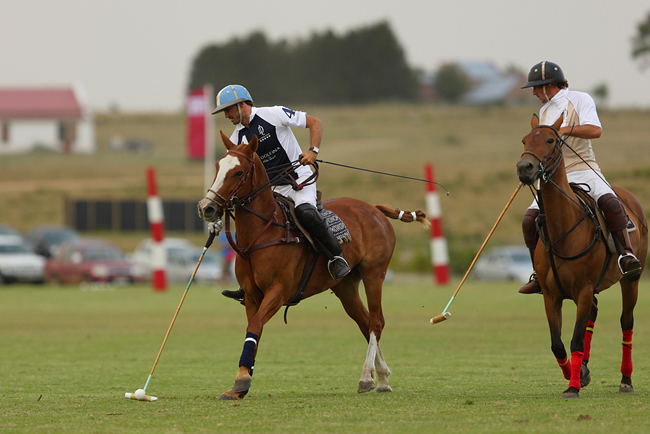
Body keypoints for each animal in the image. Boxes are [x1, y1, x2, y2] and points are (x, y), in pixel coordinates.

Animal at [197, 131, 430, 400]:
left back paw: (366, 377)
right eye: (217, 167)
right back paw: (381, 378)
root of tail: (373, 208)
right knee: (364, 322)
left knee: (376, 321)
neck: (261, 234)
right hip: (345, 285)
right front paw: (242, 381)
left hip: (375, 273)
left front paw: (241, 381)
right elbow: (253, 329)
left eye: (238, 172)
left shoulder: (278, 291)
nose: (207, 208)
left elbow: (255, 326)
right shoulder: (253, 295)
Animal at [512, 114, 644, 396]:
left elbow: (574, 340)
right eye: (525, 140)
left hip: (631, 280)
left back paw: (626, 380)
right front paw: (578, 374)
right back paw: (584, 365)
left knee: (626, 322)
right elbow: (557, 343)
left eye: (551, 140)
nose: (524, 167)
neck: (563, 228)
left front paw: (573, 386)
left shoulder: (583, 290)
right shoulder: (551, 296)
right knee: (593, 314)